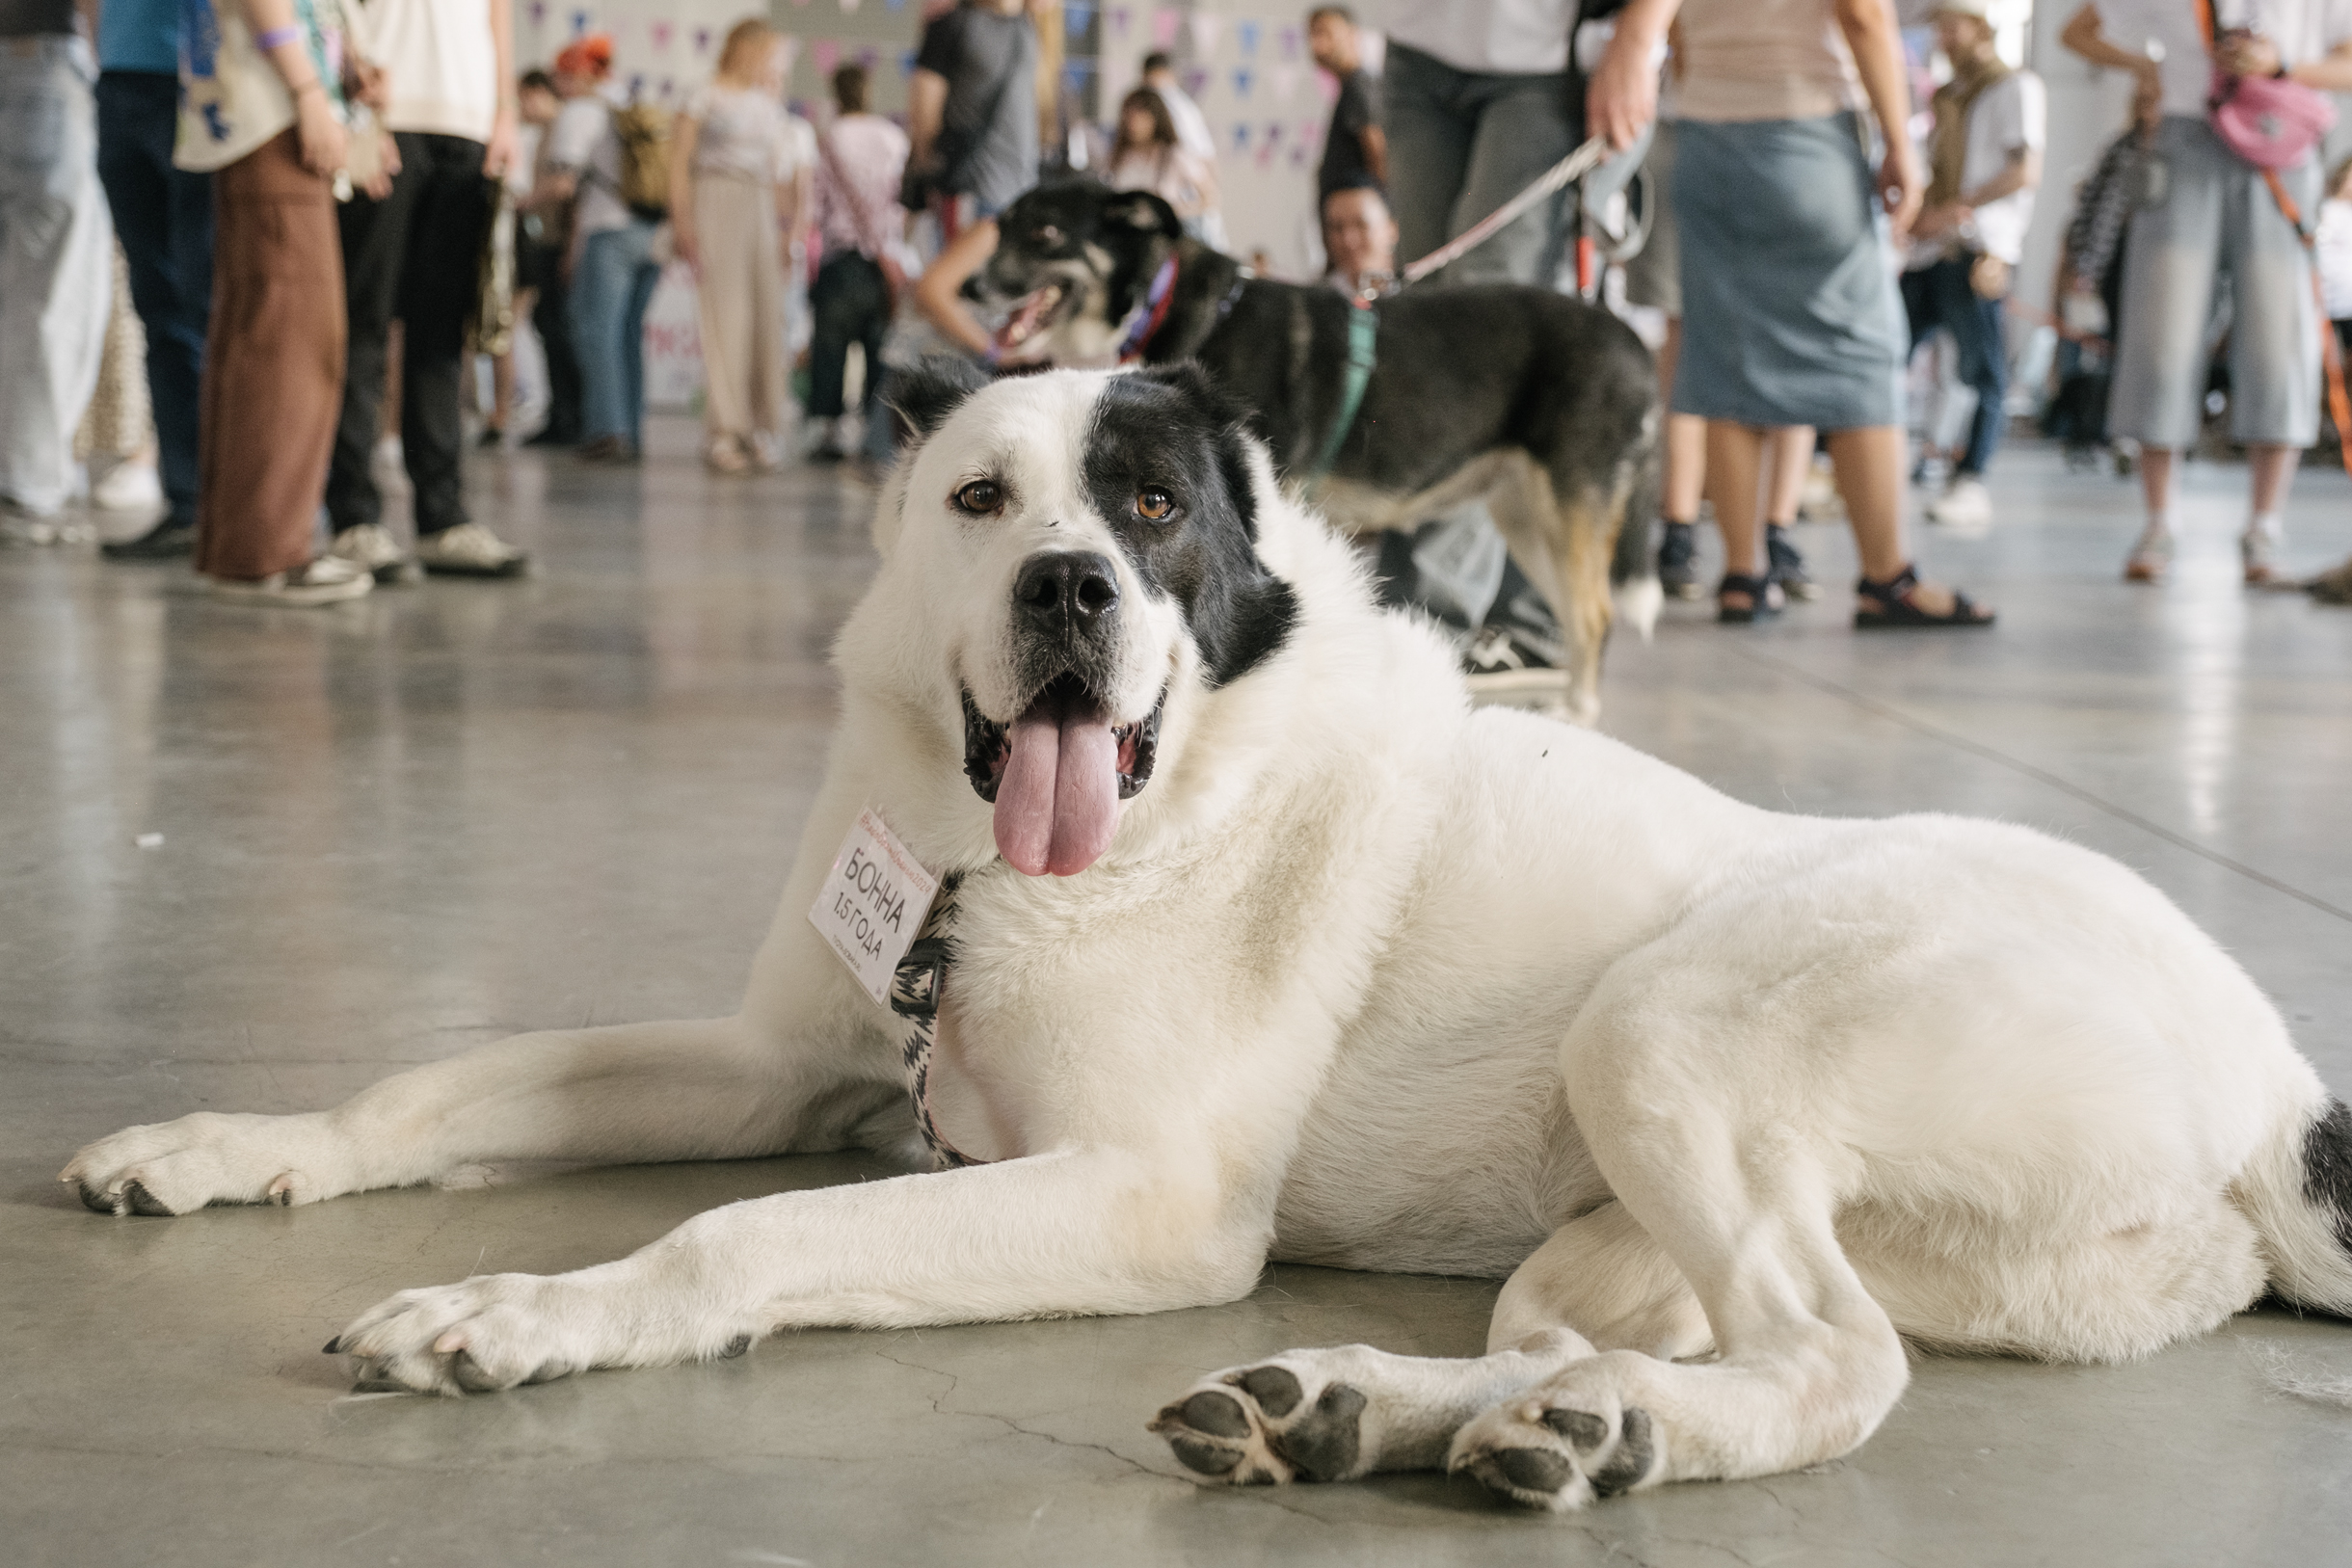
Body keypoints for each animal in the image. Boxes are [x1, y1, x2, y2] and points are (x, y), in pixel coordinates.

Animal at [64, 364, 2352, 1504]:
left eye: (1156, 509)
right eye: (982, 500)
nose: (1074, 587)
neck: (999, 871)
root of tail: (2272, 1091)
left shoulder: (1143, 1195)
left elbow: (742, 1236)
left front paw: (523, 1311)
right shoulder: (787, 1057)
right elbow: (436, 1080)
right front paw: (225, 1143)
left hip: (1664, 1027)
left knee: (1834, 1362)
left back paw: (1540, 1431)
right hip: (1610, 1216)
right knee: (1607, 1339)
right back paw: (1409, 1414)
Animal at [974, 184, 1674, 724]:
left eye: (1044, 231)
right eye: (1002, 226)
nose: (972, 286)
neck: (1167, 302)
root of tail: (1633, 342)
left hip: (1568, 510)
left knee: (1595, 615)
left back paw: (1577, 711)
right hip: (1525, 517)